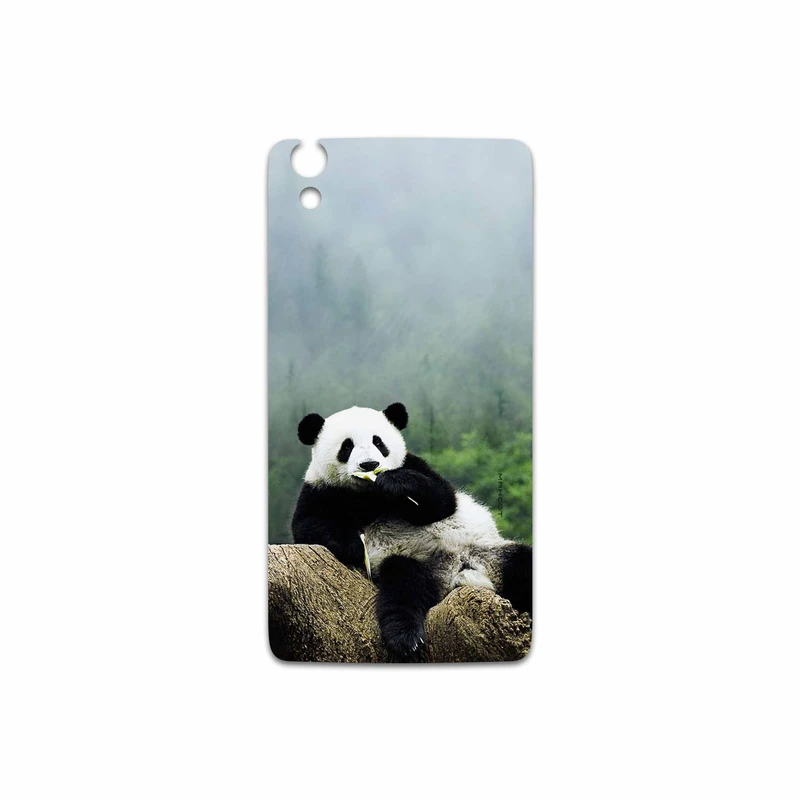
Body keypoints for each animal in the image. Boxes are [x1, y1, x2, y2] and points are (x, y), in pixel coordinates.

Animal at [291, 402, 532, 661]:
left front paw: (394, 483)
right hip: (410, 563)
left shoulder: (414, 465)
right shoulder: (320, 489)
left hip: (489, 551)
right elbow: (308, 525)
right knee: (404, 589)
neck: (367, 494)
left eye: (378, 442)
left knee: (522, 564)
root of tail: (457, 572)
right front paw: (354, 546)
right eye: (347, 446)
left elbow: (443, 500)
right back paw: (406, 639)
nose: (369, 465)